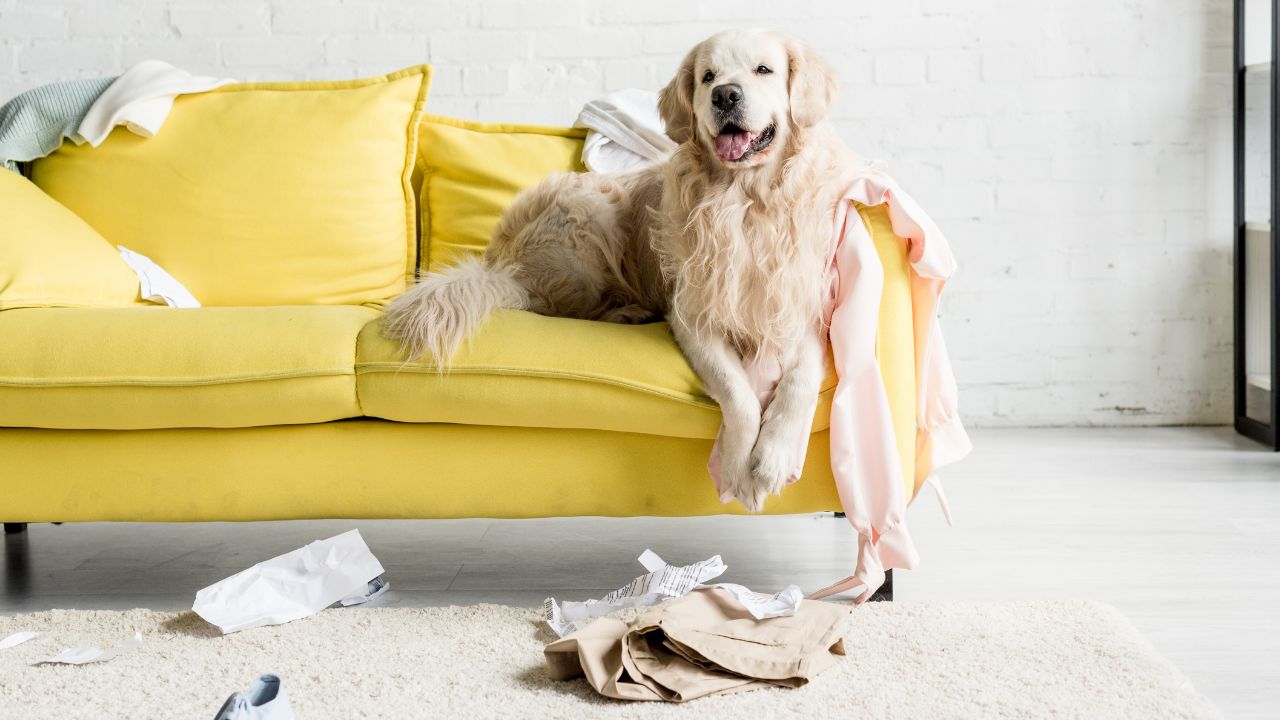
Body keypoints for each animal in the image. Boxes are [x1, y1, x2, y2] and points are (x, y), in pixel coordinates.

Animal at [381, 29, 860, 509]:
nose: (725, 95)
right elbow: (738, 391)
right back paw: (626, 311)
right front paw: (740, 469)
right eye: (708, 77)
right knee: (551, 307)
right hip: (591, 213)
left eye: (764, 70)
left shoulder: (801, 309)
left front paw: (774, 457)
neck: (746, 201)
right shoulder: (691, 317)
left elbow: (800, 382)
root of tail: (498, 260)